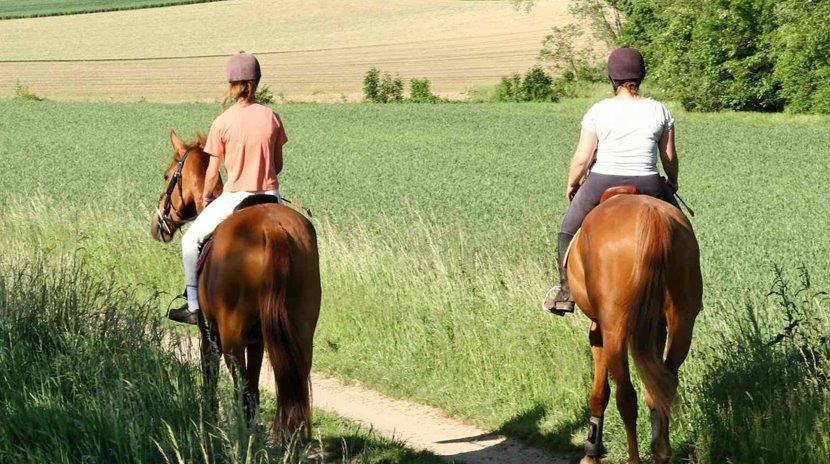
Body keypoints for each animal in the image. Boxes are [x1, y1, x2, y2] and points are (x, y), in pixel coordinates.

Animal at [150, 131, 322, 438]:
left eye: (167, 175)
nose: (157, 225)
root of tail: (273, 229)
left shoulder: (210, 334)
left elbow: (211, 377)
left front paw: (209, 419)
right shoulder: (258, 340)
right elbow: (254, 387)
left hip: (231, 336)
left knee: (241, 390)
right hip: (301, 329)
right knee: (292, 384)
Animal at [564, 189, 704, 464]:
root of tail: (652, 218)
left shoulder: (598, 330)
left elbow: (600, 392)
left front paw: (592, 451)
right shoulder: (656, 329)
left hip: (615, 328)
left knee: (626, 396)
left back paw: (634, 458)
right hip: (682, 321)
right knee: (665, 384)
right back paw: (661, 451)